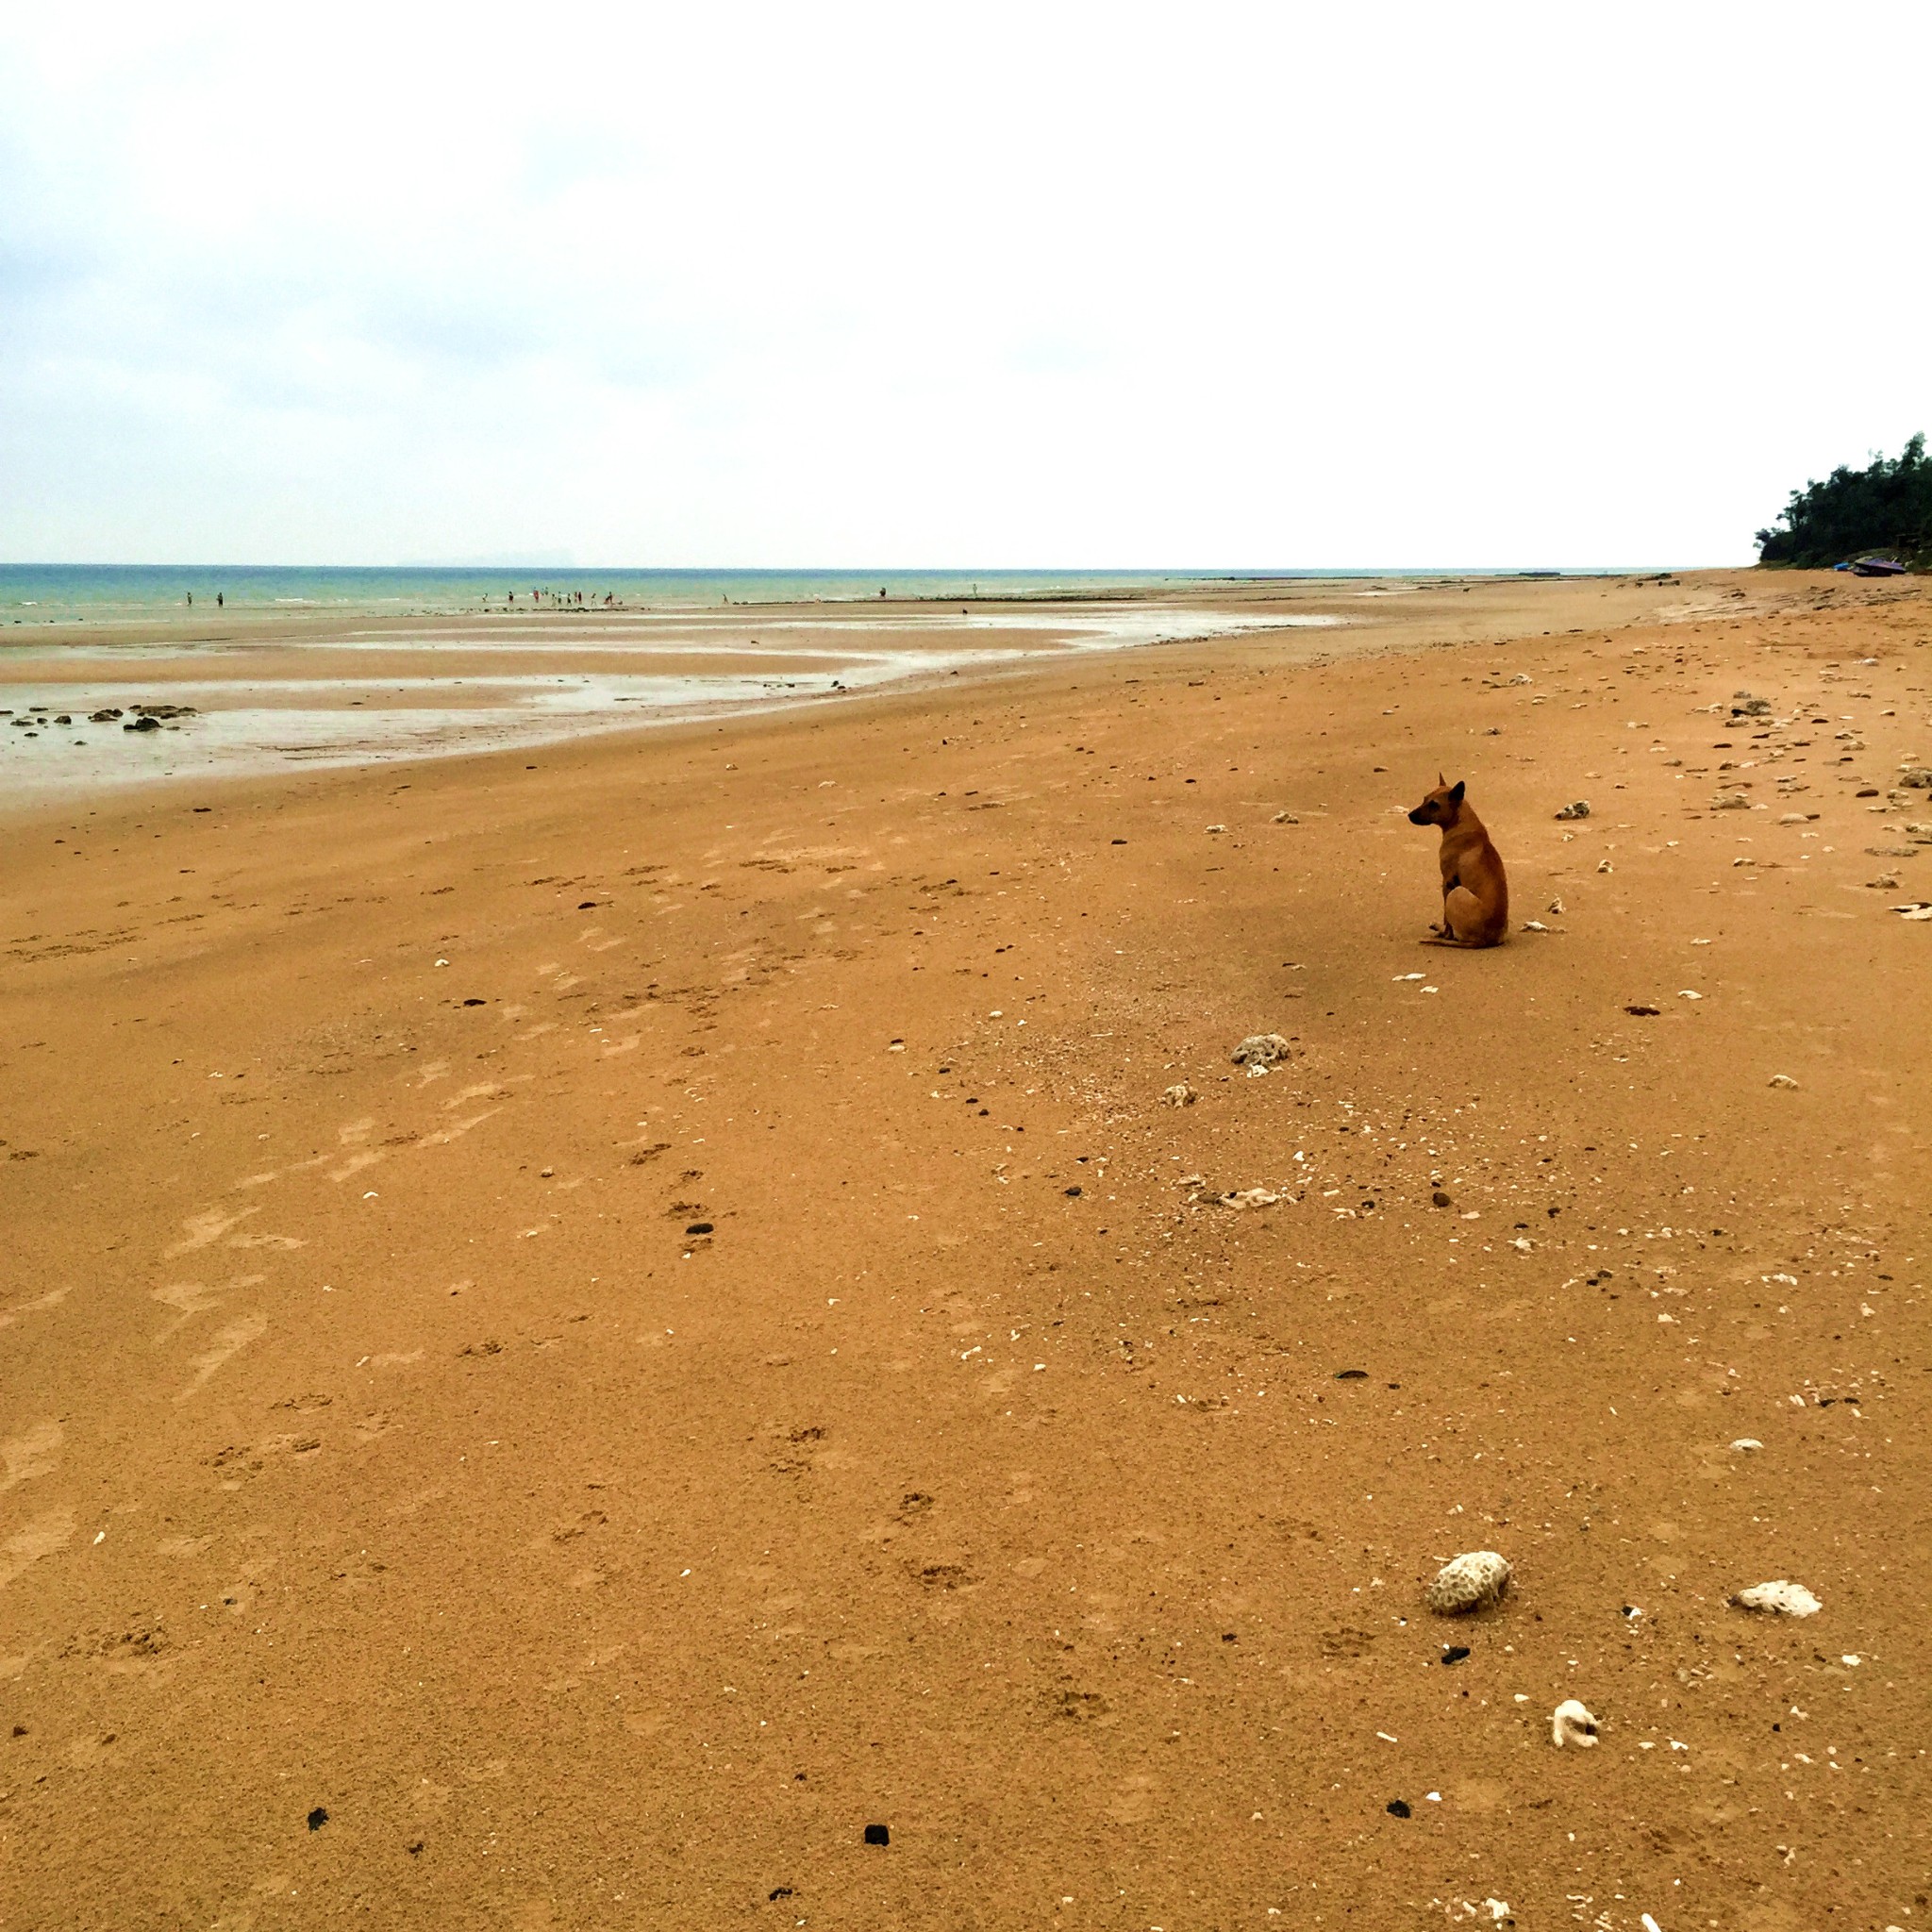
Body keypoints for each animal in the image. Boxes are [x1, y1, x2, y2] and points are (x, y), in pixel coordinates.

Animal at [1406, 773, 1507, 946]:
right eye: (1424, 799)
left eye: (1434, 805)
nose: (1410, 815)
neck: (1459, 822)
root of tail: (1484, 941)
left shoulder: (1447, 881)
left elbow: (1447, 921)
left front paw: (1445, 933)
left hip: (1456, 892)